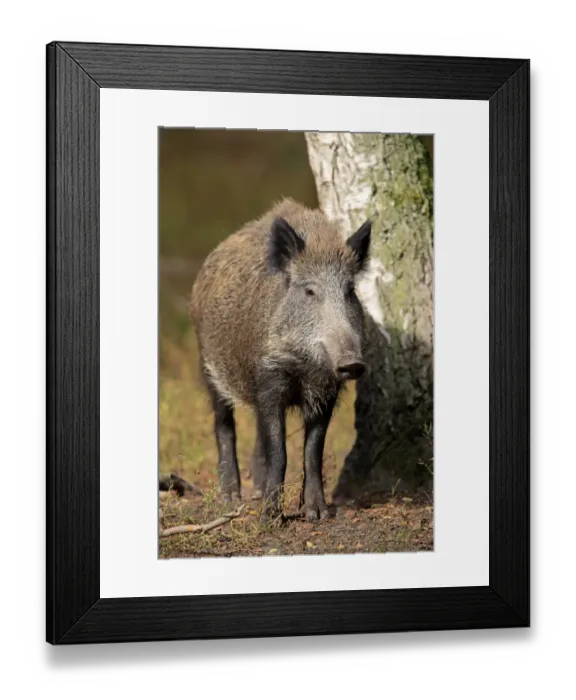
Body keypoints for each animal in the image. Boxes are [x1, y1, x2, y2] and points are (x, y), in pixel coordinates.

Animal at [189, 198, 371, 521]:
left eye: (350, 291)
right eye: (309, 290)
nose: (352, 362)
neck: (306, 368)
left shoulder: (327, 393)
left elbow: (312, 451)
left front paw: (317, 515)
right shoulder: (269, 378)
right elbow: (280, 450)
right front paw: (270, 518)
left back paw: (257, 490)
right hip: (208, 365)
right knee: (224, 424)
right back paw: (231, 497)